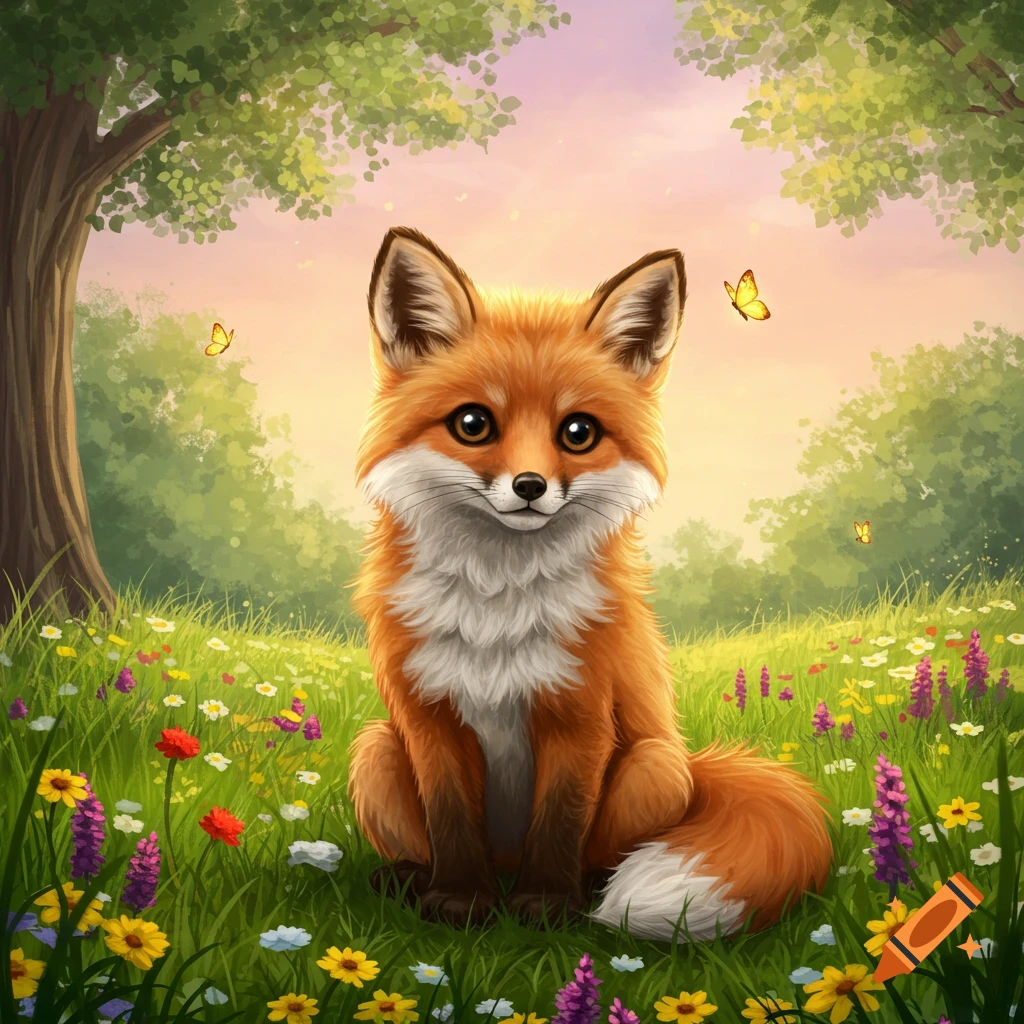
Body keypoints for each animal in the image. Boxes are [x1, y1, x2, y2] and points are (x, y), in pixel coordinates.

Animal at [347, 226, 833, 941]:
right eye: (473, 424)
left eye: (578, 432)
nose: (529, 487)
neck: (497, 605)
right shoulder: (428, 717)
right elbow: (451, 821)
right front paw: (460, 902)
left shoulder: (580, 716)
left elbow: (560, 823)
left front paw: (546, 908)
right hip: (376, 749)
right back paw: (409, 880)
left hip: (654, 767)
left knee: (606, 853)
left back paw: (593, 891)